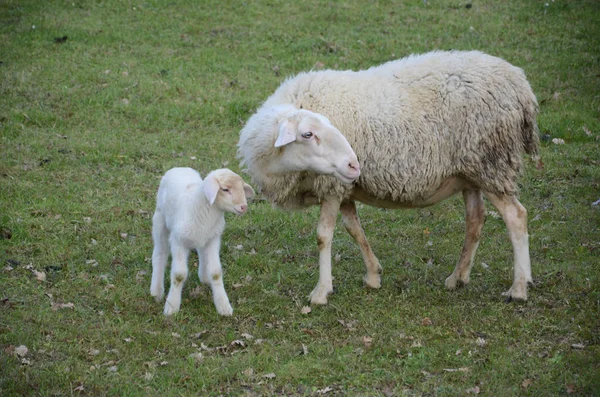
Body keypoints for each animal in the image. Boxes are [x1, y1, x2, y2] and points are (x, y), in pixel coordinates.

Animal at [151, 167, 254, 316]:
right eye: (225, 189)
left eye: (242, 188)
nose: (243, 207)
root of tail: (179, 168)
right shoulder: (178, 240)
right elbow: (179, 275)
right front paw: (171, 307)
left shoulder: (213, 239)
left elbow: (216, 273)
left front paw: (223, 306)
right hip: (160, 220)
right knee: (160, 253)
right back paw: (156, 291)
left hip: (202, 236)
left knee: (201, 251)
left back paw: (204, 277)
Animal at [237, 49, 540, 304]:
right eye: (308, 134)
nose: (354, 163)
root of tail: (521, 85)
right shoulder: (343, 187)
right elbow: (354, 229)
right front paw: (373, 275)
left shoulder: (331, 186)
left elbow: (324, 236)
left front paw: (321, 292)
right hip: (471, 171)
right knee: (476, 219)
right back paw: (458, 277)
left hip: (492, 163)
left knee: (516, 217)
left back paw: (518, 288)